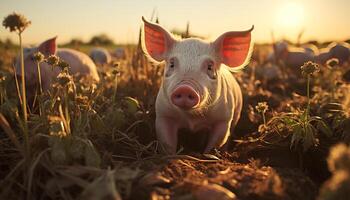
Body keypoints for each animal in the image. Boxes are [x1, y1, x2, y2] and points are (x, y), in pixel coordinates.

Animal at [140, 17, 254, 155]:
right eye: (172, 64)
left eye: (210, 67)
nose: (185, 88)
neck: (192, 120)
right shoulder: (163, 115)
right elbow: (167, 143)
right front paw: (169, 156)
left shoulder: (223, 119)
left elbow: (216, 143)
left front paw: (207, 156)